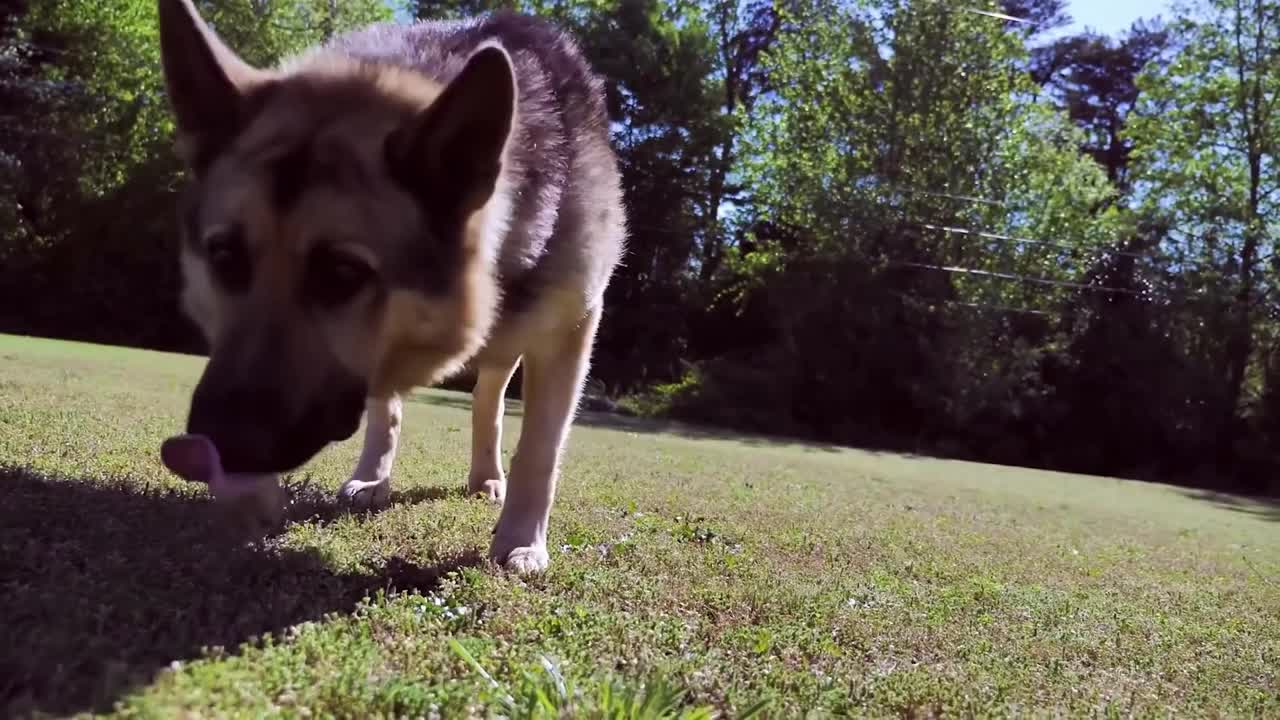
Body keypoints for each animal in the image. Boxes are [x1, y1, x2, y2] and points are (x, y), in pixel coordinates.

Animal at [154, 0, 624, 571]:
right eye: (225, 257)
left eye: (342, 273)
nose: (219, 444)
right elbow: (385, 404)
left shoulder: (571, 328)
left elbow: (540, 447)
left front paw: (521, 540)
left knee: (489, 399)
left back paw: (487, 477)